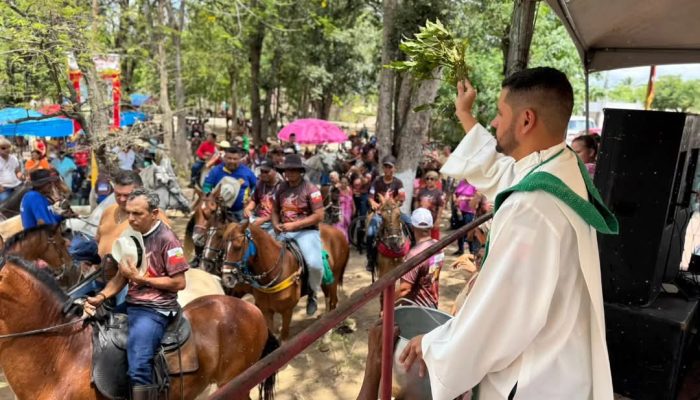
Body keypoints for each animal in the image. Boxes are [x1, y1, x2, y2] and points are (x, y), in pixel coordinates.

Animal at [221, 220, 350, 340]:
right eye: (223, 248)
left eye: (238, 247)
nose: (226, 278)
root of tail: (339, 233)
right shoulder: (266, 311)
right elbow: (273, 333)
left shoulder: (287, 311)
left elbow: (284, 338)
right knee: (328, 299)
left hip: (334, 277)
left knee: (333, 301)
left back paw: (328, 333)